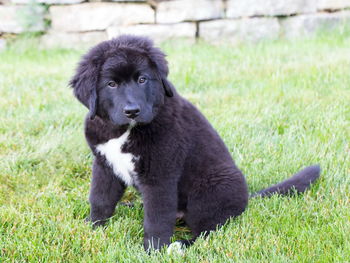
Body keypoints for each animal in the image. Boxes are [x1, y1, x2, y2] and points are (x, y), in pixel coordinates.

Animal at [69, 35, 322, 252]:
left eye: (142, 80)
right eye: (111, 84)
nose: (132, 111)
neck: (123, 131)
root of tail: (247, 197)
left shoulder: (160, 175)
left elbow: (157, 218)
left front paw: (153, 250)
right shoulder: (104, 165)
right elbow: (100, 199)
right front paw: (93, 227)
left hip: (209, 191)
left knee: (208, 229)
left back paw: (180, 245)